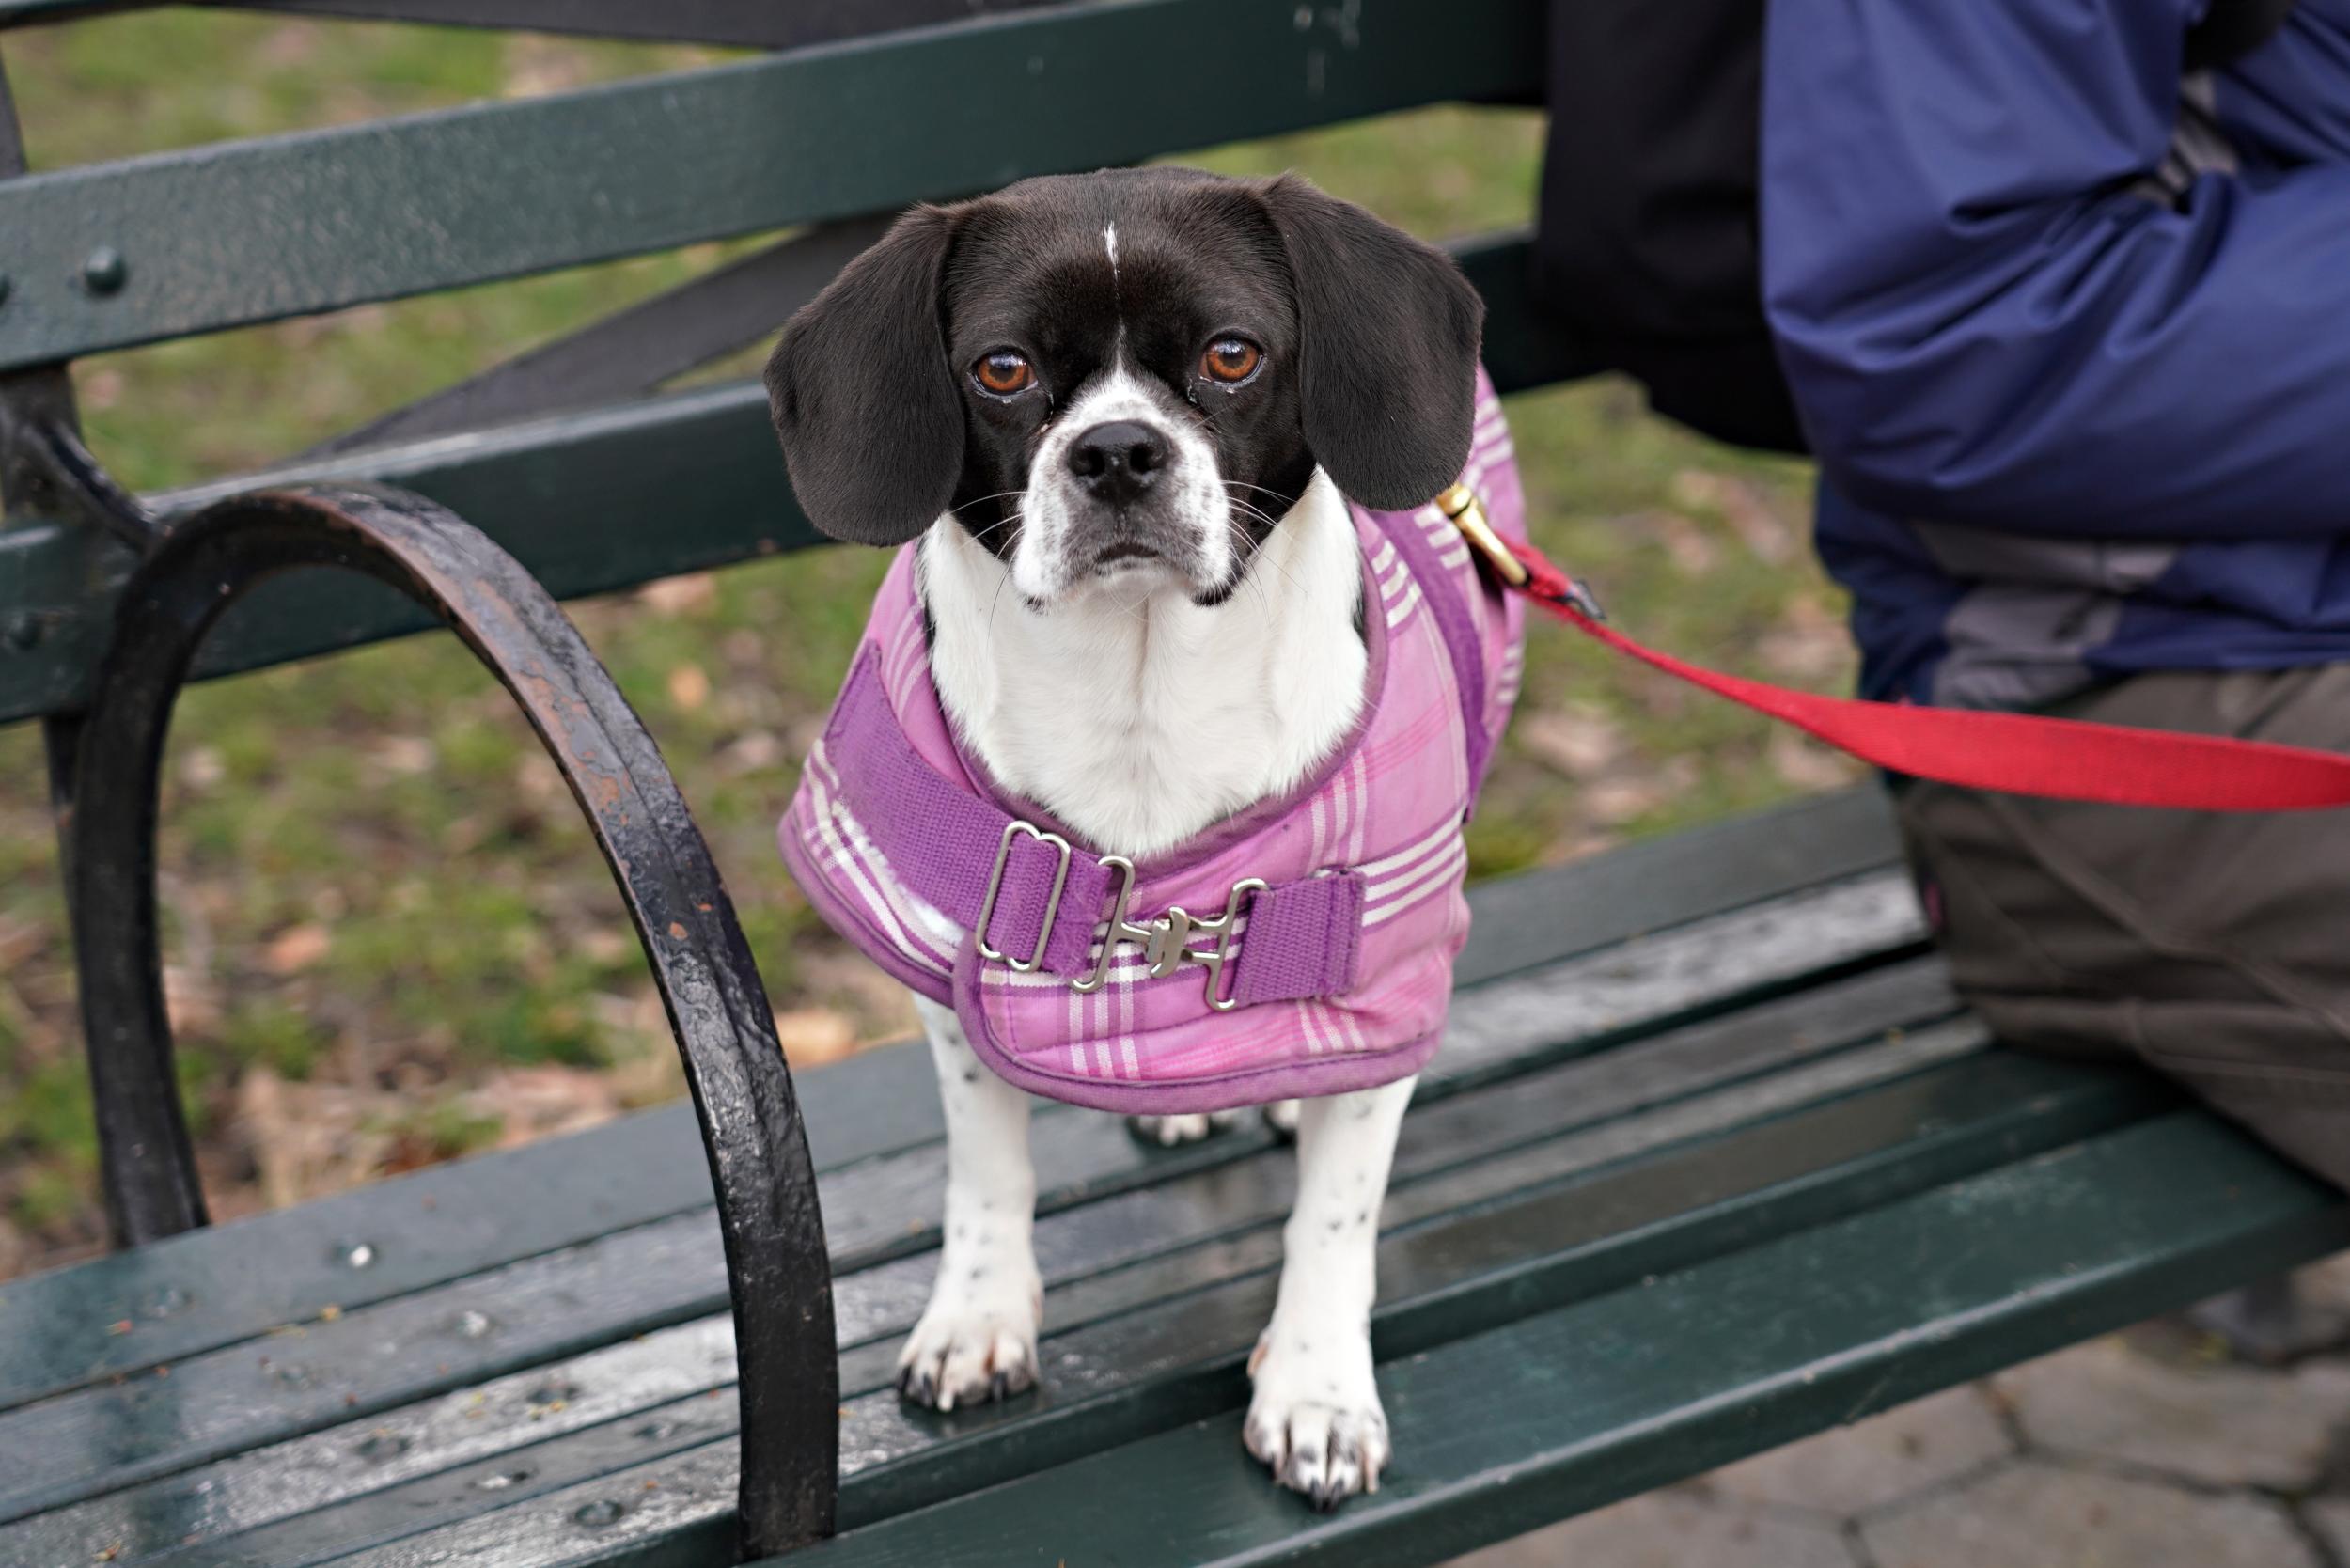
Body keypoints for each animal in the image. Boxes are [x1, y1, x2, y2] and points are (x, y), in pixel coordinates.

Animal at [766, 169, 1466, 1504]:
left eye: (1232, 353)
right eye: (1000, 369)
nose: (1117, 451)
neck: (1141, 690)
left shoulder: (1387, 989)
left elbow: (1334, 1212)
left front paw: (1316, 1388)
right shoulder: (952, 985)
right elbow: (988, 1167)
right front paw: (979, 1314)